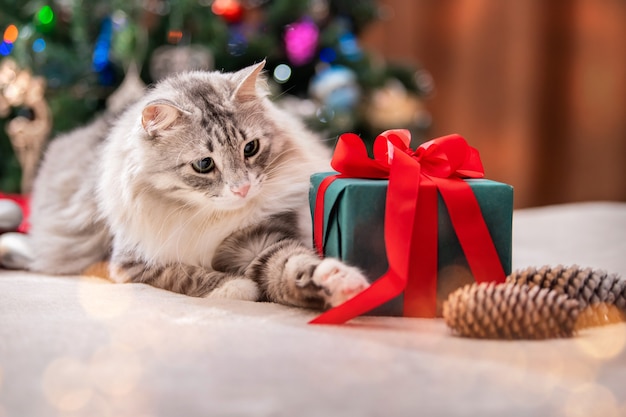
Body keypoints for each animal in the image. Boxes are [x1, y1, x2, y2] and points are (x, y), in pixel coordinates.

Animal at [28, 61, 370, 308]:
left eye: (250, 148)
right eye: (204, 164)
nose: (242, 189)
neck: (208, 217)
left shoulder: (261, 240)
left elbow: (294, 265)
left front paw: (339, 283)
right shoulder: (132, 263)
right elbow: (184, 275)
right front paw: (238, 286)